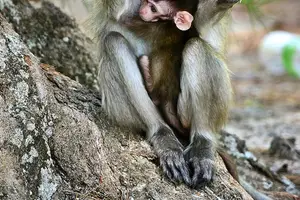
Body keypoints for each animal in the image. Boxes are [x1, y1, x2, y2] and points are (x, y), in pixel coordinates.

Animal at [90, 0, 236, 188]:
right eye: (148, 3)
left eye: (153, 8)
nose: (144, 10)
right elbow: (120, 14)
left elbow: (203, 22)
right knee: (114, 42)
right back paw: (160, 132)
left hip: (184, 114)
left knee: (196, 46)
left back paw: (202, 141)